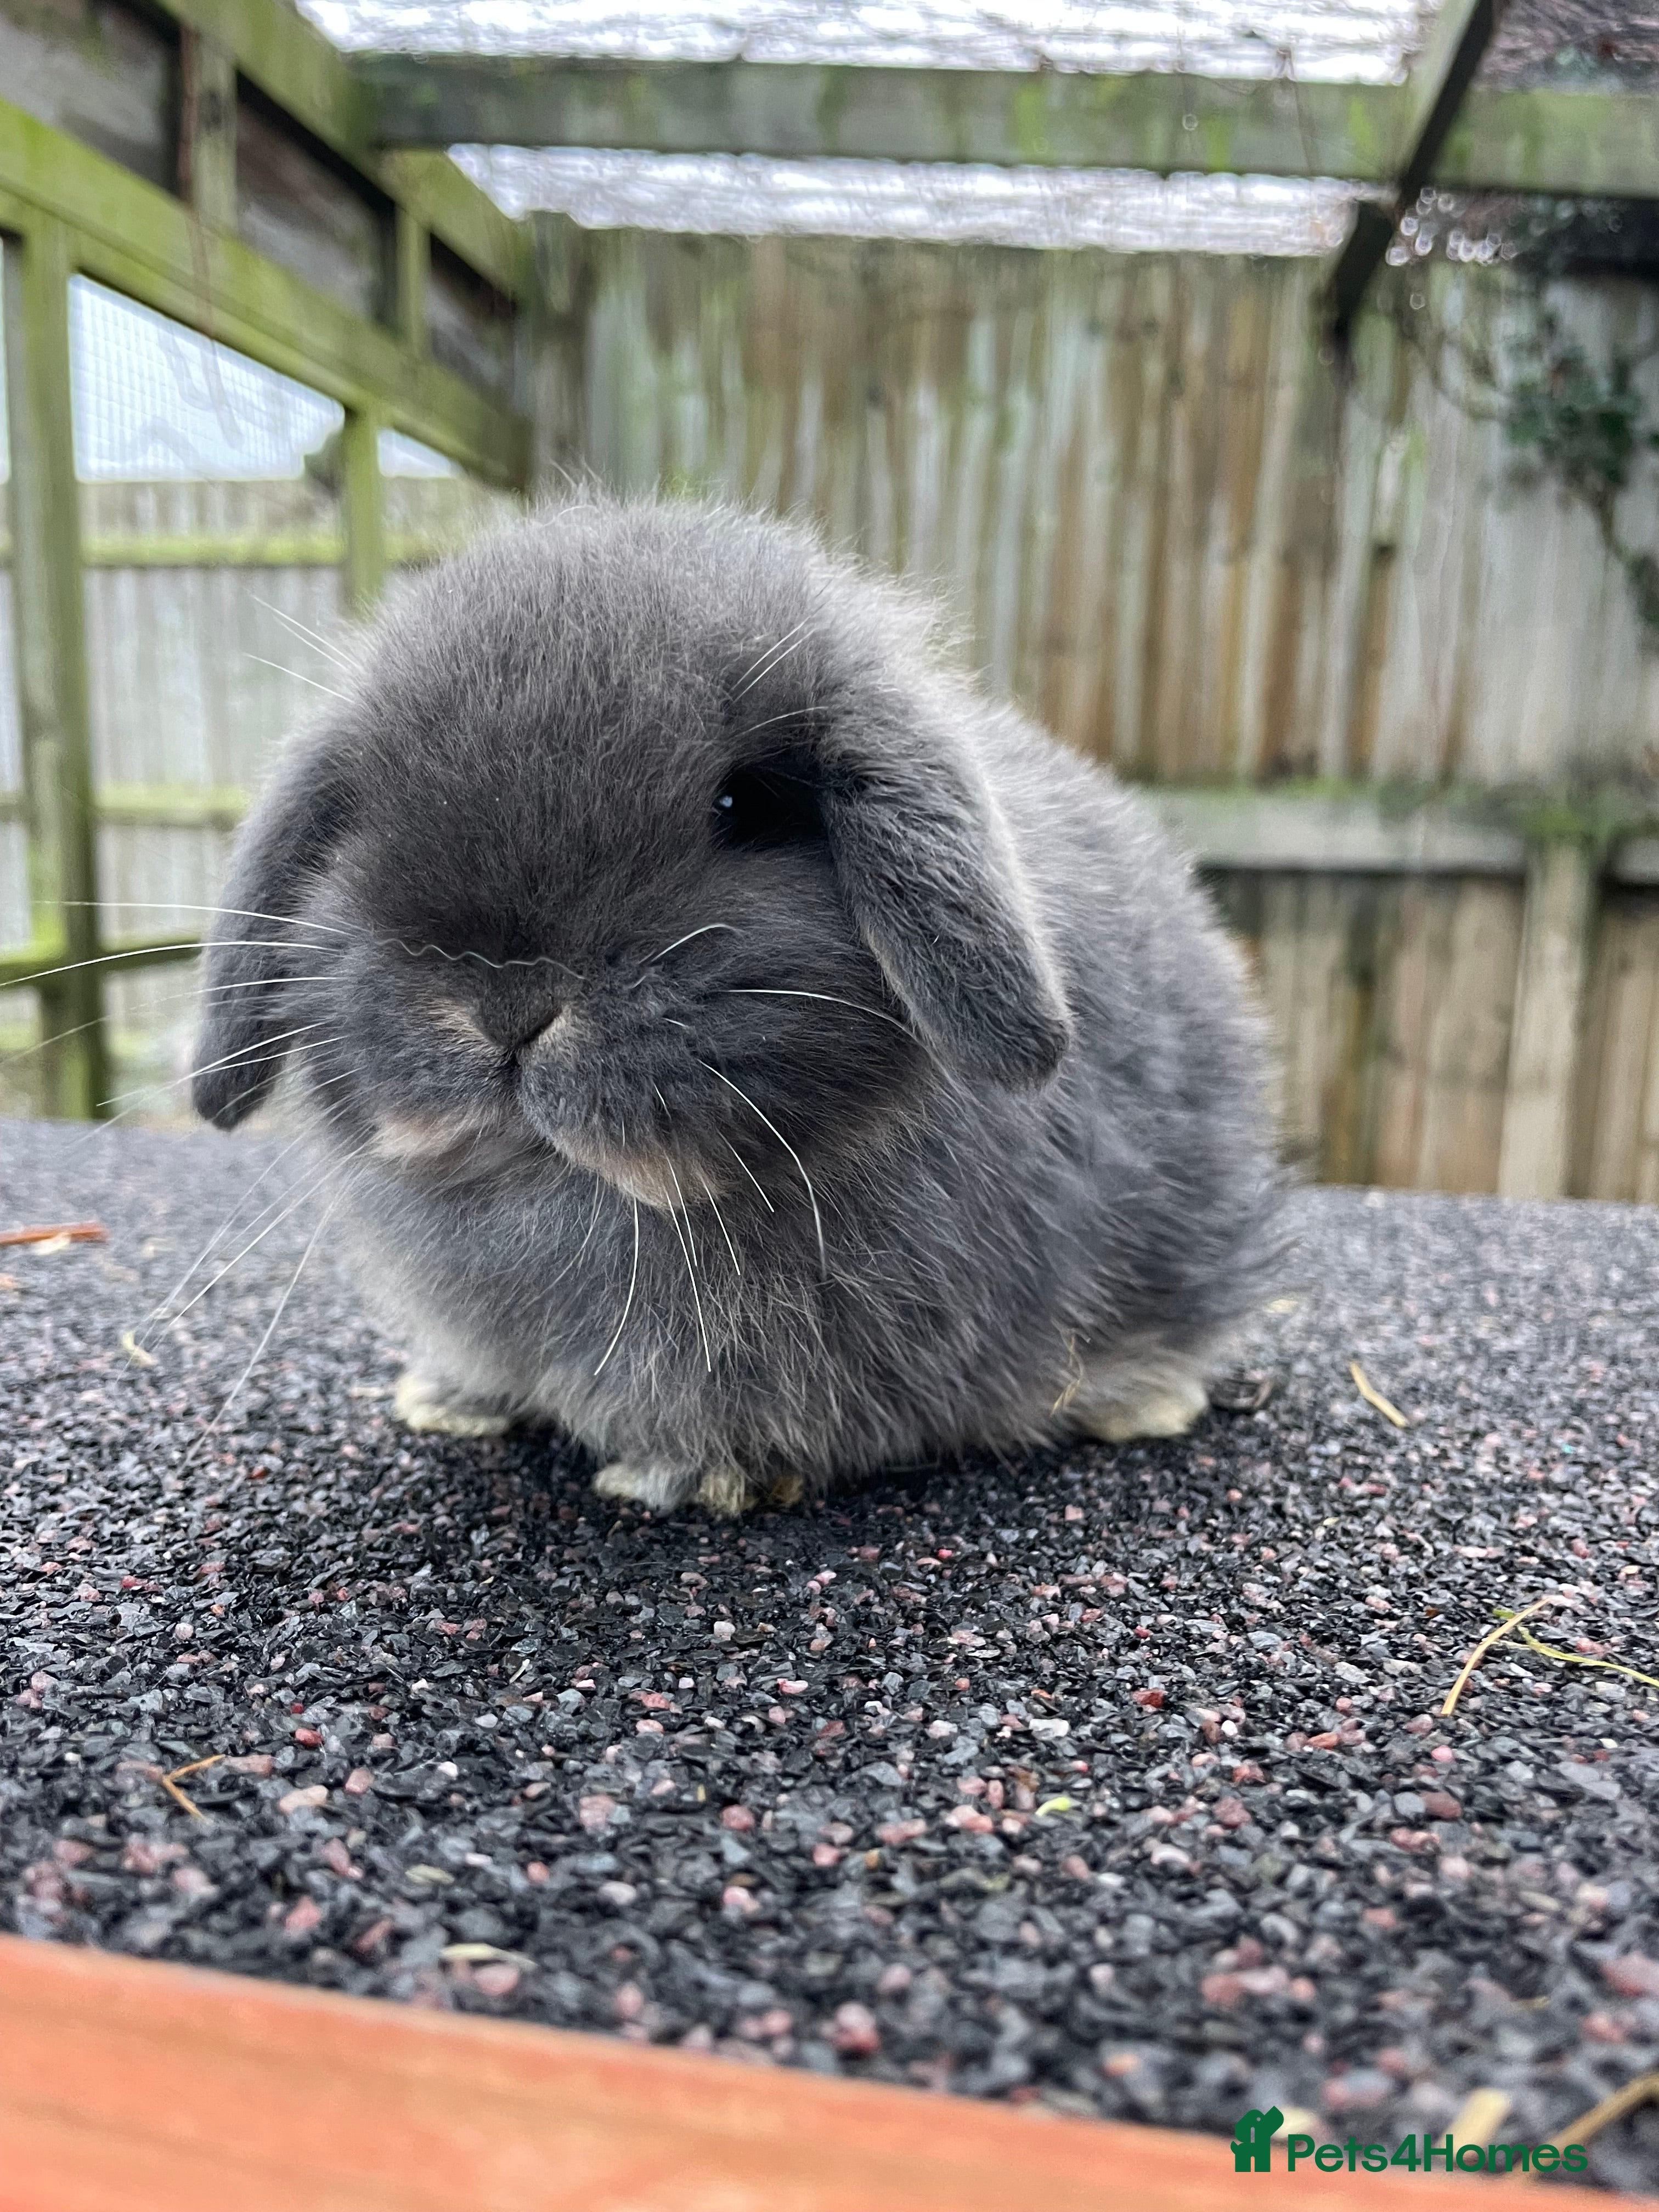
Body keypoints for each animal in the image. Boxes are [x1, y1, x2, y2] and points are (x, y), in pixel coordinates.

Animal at [192, 496, 1282, 1515]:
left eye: (744, 804)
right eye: (363, 818)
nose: (504, 1002)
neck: (581, 1196)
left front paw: (690, 1473)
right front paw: (452, 1401)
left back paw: (1141, 1396)